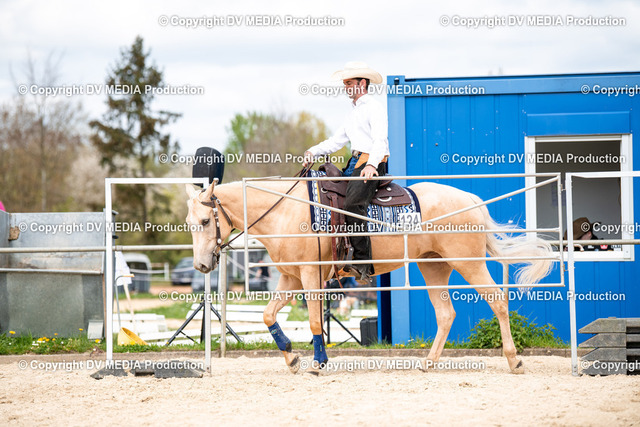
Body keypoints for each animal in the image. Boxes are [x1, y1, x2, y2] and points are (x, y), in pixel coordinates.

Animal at [185, 175, 553, 375]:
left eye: (204, 221)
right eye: (189, 224)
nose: (202, 265)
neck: (285, 210)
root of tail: (473, 200)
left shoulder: (309, 274)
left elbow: (315, 321)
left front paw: (318, 362)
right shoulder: (290, 277)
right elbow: (267, 315)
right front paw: (292, 357)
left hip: (468, 262)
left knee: (498, 301)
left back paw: (514, 361)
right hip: (433, 265)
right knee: (446, 313)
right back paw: (428, 363)